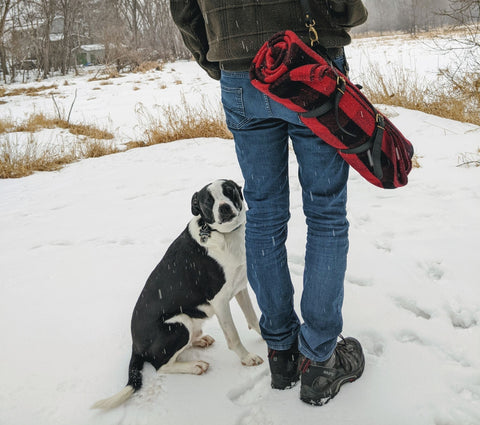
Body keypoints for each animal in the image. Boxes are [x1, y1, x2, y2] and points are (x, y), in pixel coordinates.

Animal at [92, 178, 260, 408]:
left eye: (229, 191)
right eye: (208, 201)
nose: (224, 208)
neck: (223, 235)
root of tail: (136, 346)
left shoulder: (240, 285)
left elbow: (254, 318)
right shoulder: (219, 300)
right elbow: (233, 336)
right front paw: (247, 358)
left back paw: (200, 341)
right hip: (179, 323)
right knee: (161, 365)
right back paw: (195, 366)